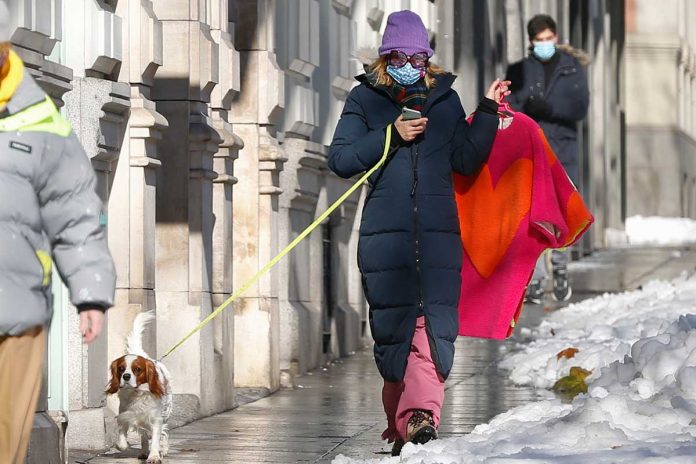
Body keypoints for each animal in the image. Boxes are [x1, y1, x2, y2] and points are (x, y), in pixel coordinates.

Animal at [108, 310, 174, 462]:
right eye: (121, 369)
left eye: (137, 369)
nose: (126, 376)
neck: (136, 393)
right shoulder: (125, 414)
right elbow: (122, 439)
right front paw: (122, 445)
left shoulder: (156, 419)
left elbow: (156, 438)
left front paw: (154, 455)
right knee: (144, 435)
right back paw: (144, 452)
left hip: (166, 412)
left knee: (164, 433)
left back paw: (163, 449)